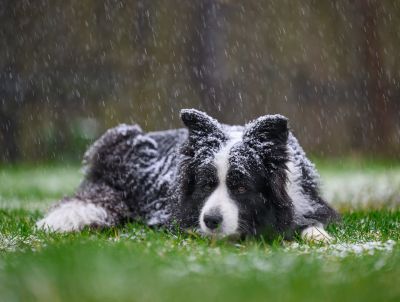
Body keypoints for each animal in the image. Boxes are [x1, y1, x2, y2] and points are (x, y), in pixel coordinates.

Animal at [36, 109, 338, 242]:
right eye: (206, 184)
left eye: (241, 187)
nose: (211, 220)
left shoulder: (310, 202)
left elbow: (313, 224)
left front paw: (318, 237)